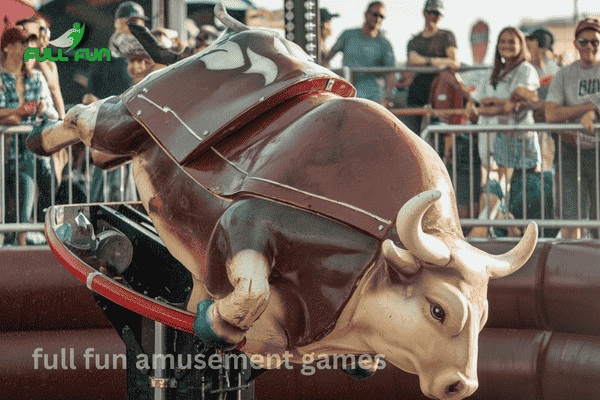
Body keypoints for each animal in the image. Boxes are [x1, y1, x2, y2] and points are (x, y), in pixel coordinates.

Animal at [28, 4, 536, 398]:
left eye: (485, 317)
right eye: (439, 309)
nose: (460, 384)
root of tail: (221, 36)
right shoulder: (246, 222)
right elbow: (250, 290)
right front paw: (217, 321)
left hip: (120, 148)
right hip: (127, 122)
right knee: (85, 115)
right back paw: (40, 136)